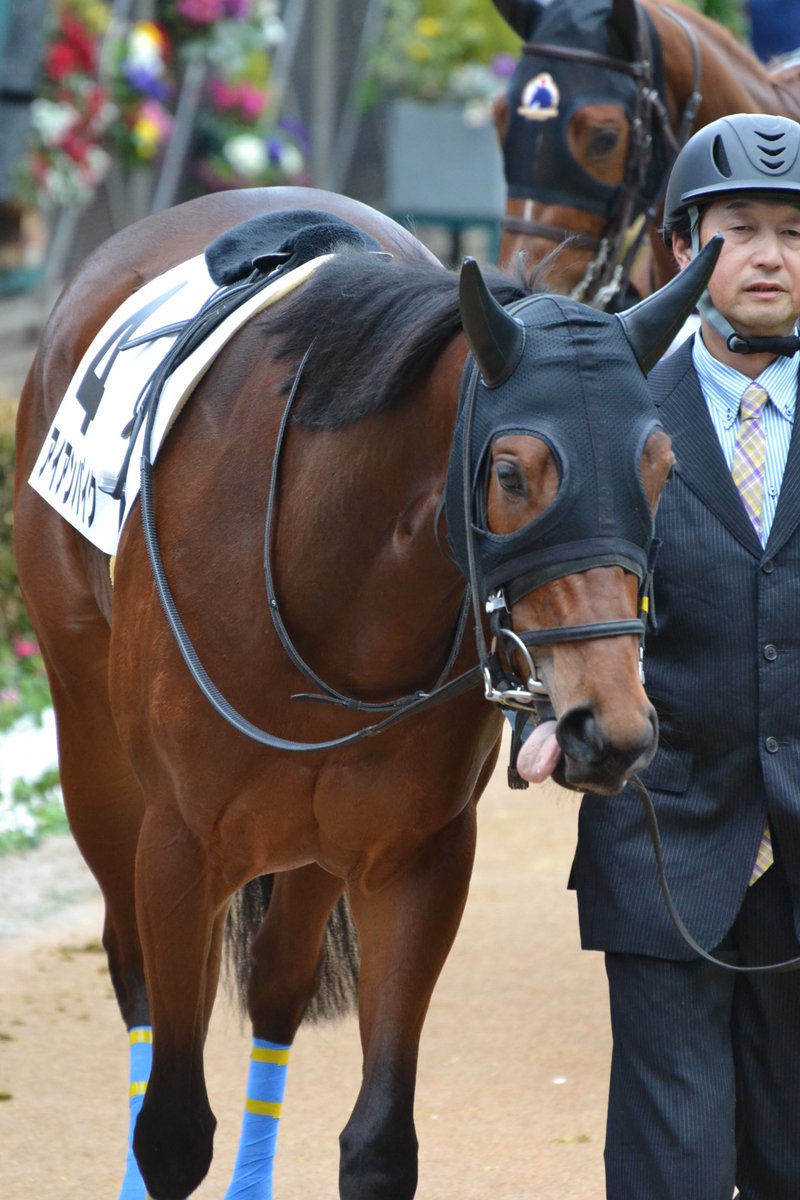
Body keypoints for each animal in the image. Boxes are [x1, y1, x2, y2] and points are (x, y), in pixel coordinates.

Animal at [12, 184, 718, 1200]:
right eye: (513, 474)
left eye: (660, 465)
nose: (611, 729)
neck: (328, 575)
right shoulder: (179, 848)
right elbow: (173, 1132)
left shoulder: (415, 856)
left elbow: (380, 1143)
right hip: (94, 754)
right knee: (133, 970)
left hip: (313, 836)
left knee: (278, 983)